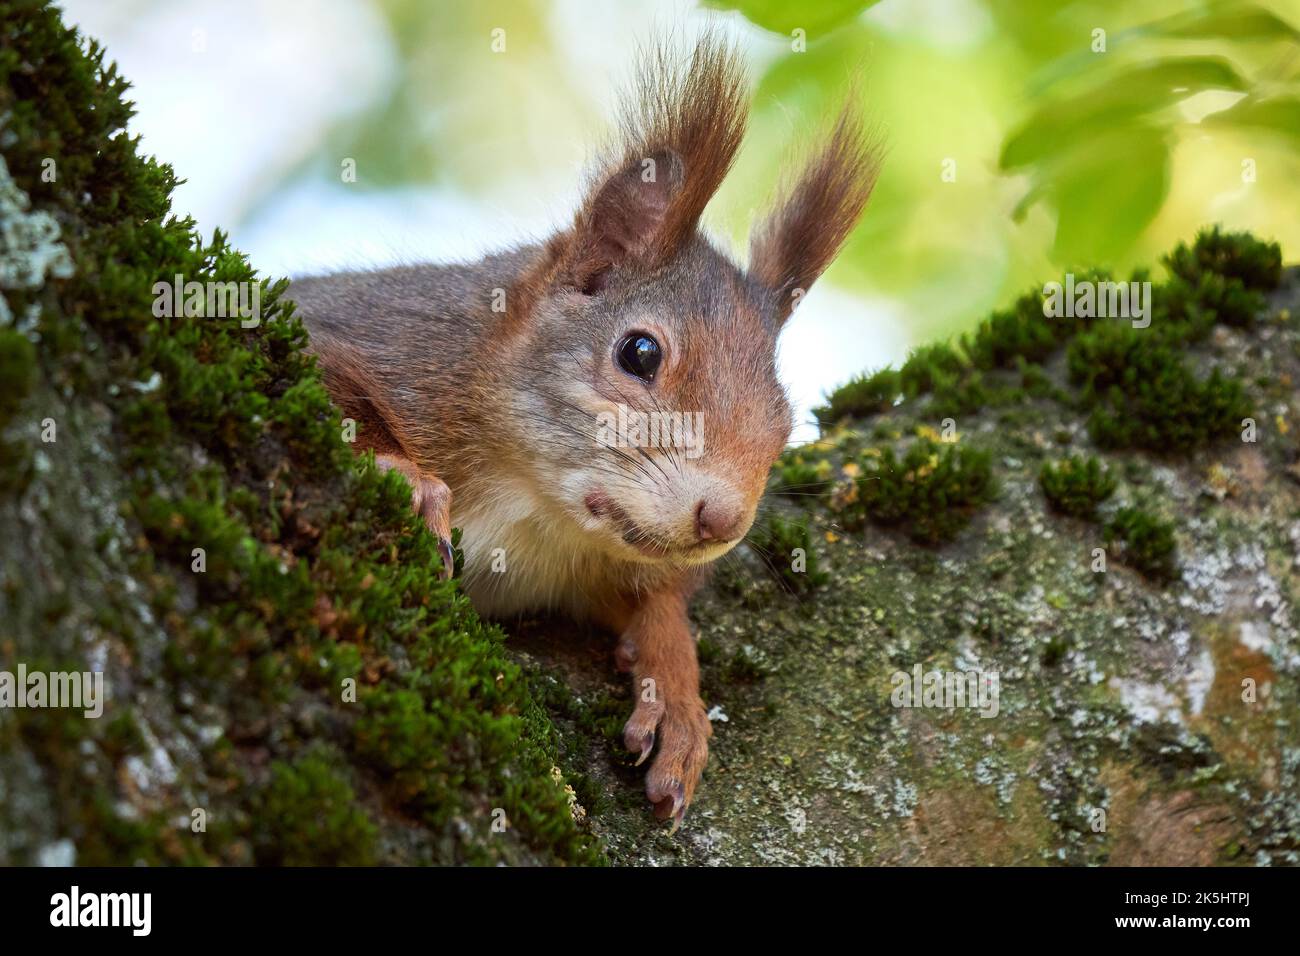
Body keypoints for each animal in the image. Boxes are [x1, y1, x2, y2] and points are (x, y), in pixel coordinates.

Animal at [290, 33, 881, 827]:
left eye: (786, 423)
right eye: (640, 353)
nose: (724, 520)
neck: (533, 506)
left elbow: (659, 602)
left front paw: (675, 688)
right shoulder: (387, 341)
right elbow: (327, 380)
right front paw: (407, 478)